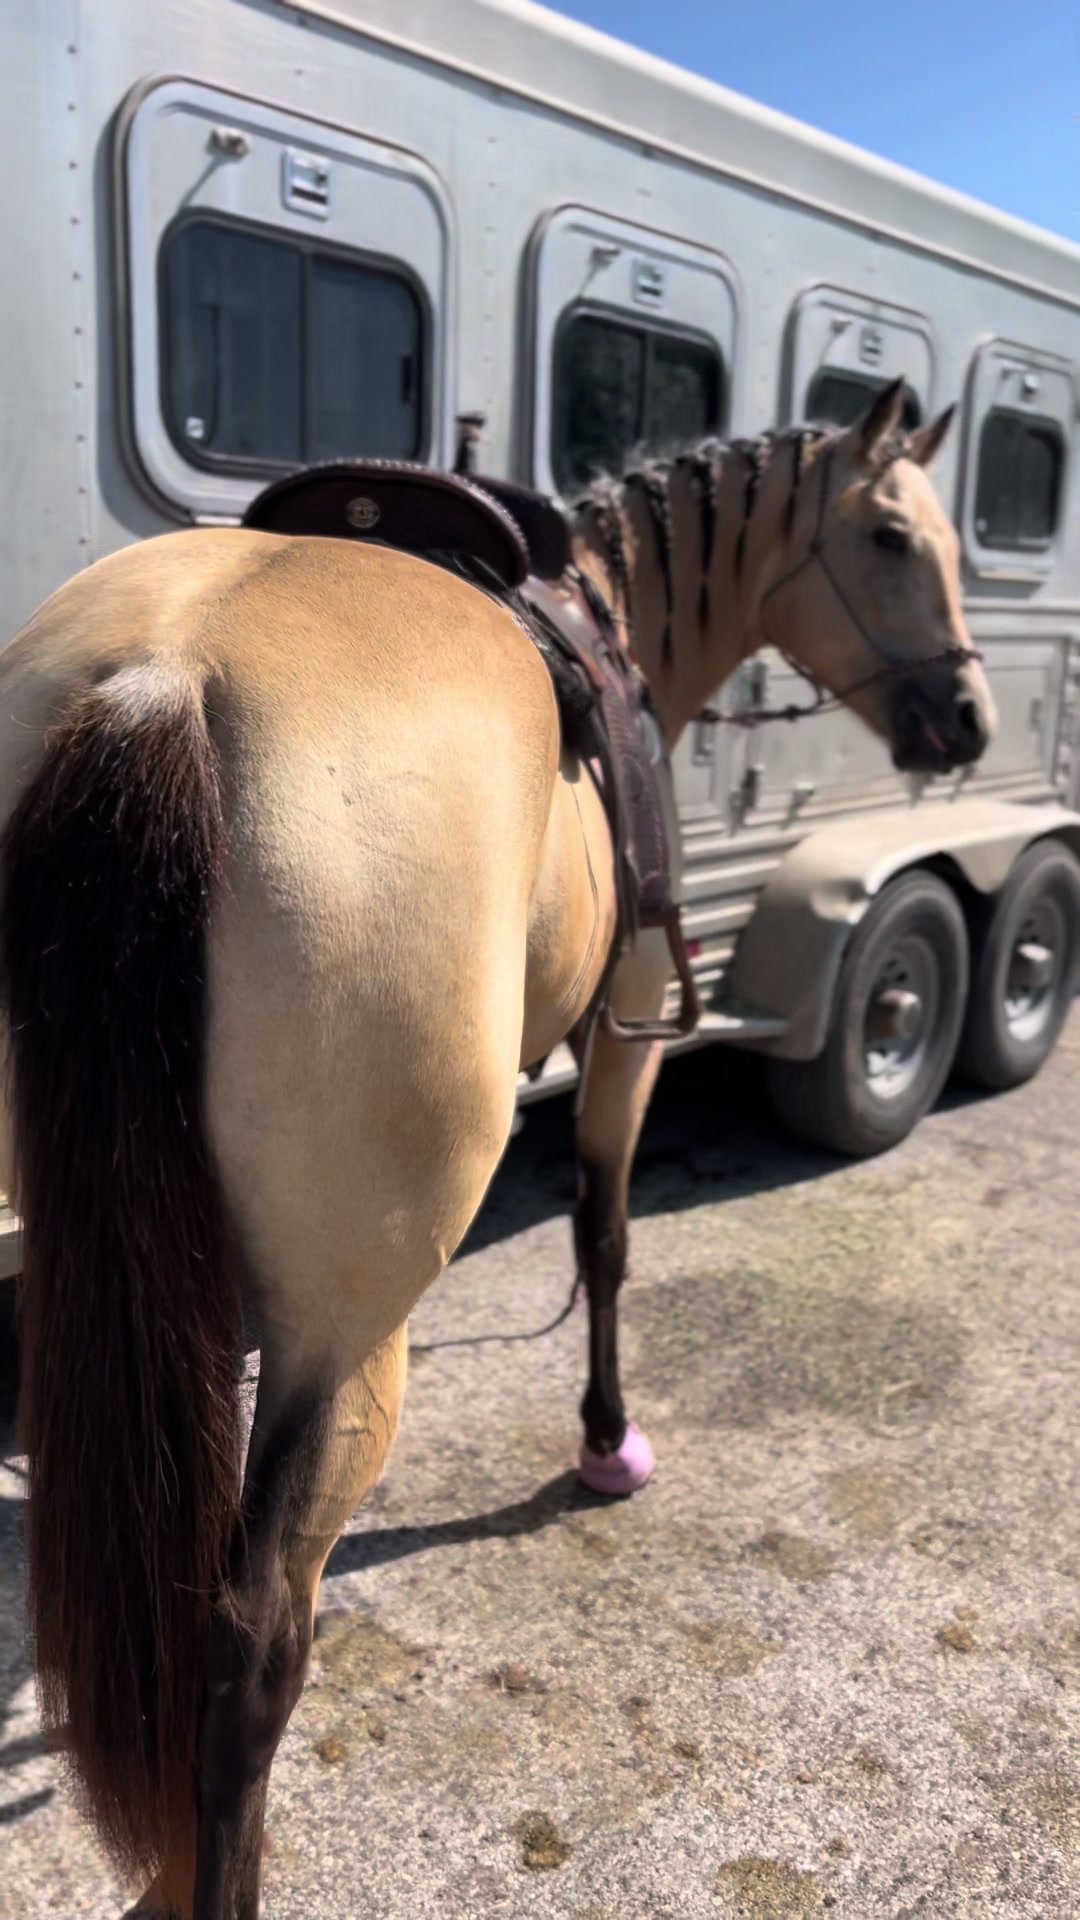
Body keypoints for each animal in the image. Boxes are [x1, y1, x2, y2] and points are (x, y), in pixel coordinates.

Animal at [0, 377, 994, 1917]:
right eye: (893, 537)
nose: (966, 716)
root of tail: (158, 688)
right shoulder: (632, 1028)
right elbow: (605, 1233)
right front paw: (604, 1440)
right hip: (343, 1338)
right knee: (247, 1652)